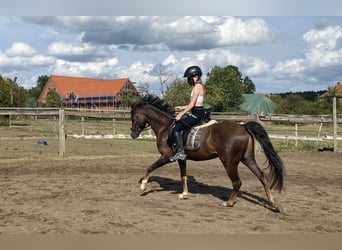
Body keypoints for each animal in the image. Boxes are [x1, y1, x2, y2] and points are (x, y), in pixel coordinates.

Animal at [130, 94, 284, 212]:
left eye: (133, 117)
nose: (133, 134)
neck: (165, 128)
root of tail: (243, 127)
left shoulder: (166, 157)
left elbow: (150, 168)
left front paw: (143, 186)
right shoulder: (182, 158)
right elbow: (183, 176)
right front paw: (184, 194)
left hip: (229, 162)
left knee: (237, 182)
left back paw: (229, 202)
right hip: (247, 159)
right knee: (262, 177)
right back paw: (274, 204)